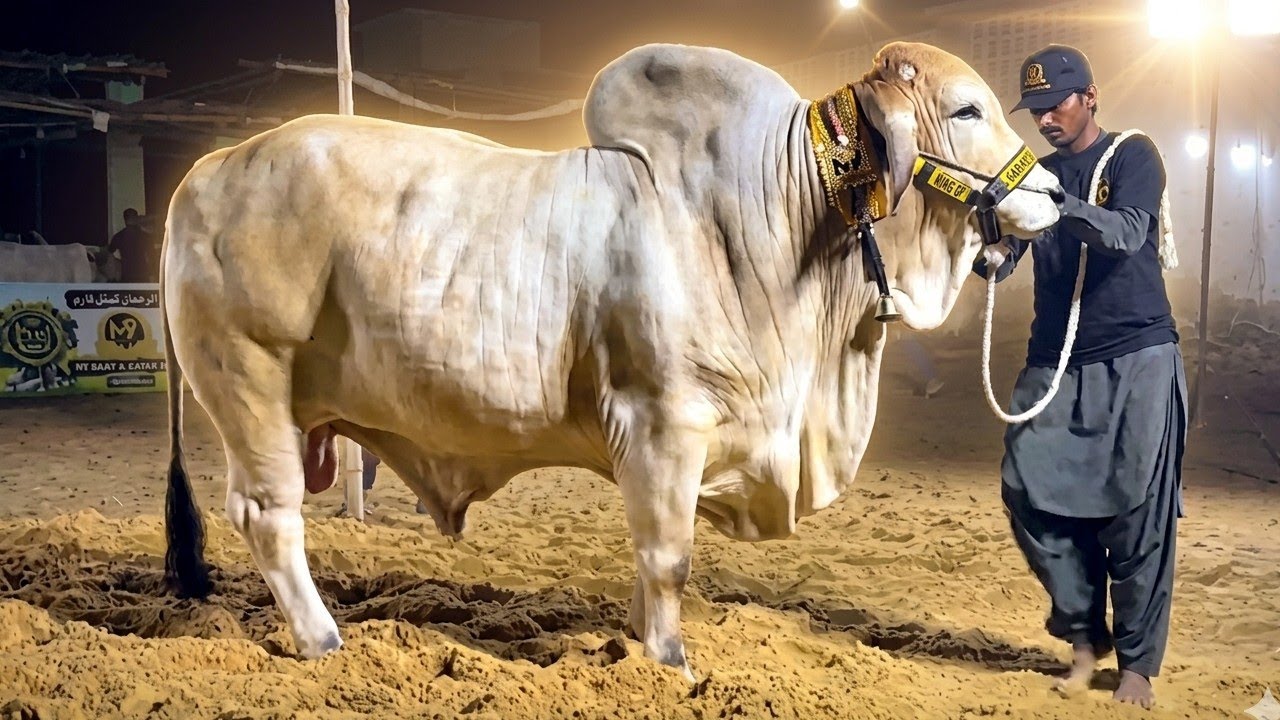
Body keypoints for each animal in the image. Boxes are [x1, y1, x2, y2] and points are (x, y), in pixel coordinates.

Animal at [160, 42, 1060, 680]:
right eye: (967, 108)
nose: (1054, 193)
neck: (775, 213)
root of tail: (206, 170)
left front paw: (635, 645)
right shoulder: (663, 421)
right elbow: (668, 557)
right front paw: (670, 665)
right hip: (250, 383)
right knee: (268, 516)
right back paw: (323, 641)